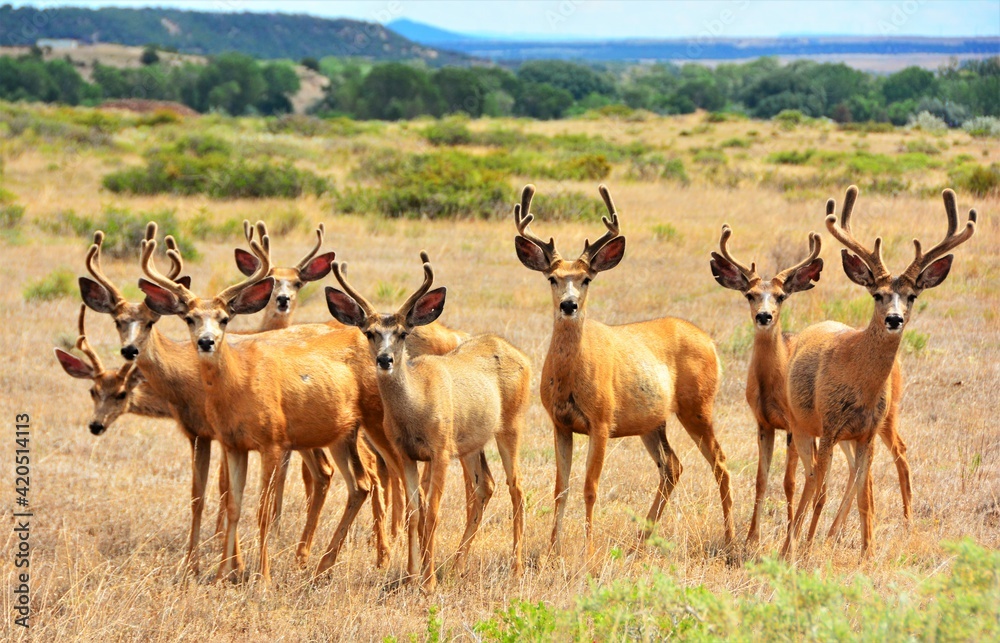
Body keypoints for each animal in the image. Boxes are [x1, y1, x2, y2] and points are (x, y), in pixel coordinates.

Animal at [136, 228, 398, 583]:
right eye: (189, 318)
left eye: (224, 318)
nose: (206, 341)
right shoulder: (231, 444)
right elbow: (232, 503)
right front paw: (223, 573)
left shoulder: (272, 442)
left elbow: (261, 508)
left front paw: (263, 576)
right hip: (340, 435)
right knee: (360, 483)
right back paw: (323, 565)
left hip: (373, 425)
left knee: (395, 473)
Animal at [325, 250, 530, 592]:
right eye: (370, 333)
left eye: (403, 333)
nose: (385, 359)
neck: (416, 406)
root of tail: (521, 356)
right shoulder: (406, 453)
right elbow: (413, 511)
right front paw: (410, 576)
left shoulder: (440, 449)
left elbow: (432, 511)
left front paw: (429, 581)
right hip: (471, 442)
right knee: (484, 486)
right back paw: (458, 565)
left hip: (511, 424)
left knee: (516, 487)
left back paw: (516, 567)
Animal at [513, 184, 734, 557]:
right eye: (553, 278)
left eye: (586, 279)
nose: (568, 305)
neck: (571, 377)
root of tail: (710, 342)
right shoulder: (559, 423)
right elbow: (561, 488)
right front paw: (552, 550)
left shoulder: (601, 421)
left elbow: (590, 487)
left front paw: (588, 551)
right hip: (652, 421)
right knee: (672, 466)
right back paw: (641, 540)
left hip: (697, 406)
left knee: (720, 463)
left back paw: (731, 540)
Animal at [711, 226, 912, 545]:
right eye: (750, 295)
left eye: (780, 296)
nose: (764, 316)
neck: (773, 381)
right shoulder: (763, 422)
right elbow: (762, 479)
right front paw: (752, 538)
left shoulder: (795, 425)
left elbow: (791, 481)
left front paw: (790, 531)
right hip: (848, 431)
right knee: (857, 469)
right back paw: (834, 532)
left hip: (886, 416)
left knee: (899, 453)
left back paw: (905, 522)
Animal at [782, 186, 975, 558]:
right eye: (877, 295)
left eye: (912, 296)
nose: (894, 319)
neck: (861, 383)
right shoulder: (829, 425)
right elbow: (819, 488)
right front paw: (799, 550)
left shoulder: (866, 432)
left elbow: (864, 496)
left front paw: (867, 552)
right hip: (802, 424)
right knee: (811, 479)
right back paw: (798, 540)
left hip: (857, 433)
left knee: (847, 477)